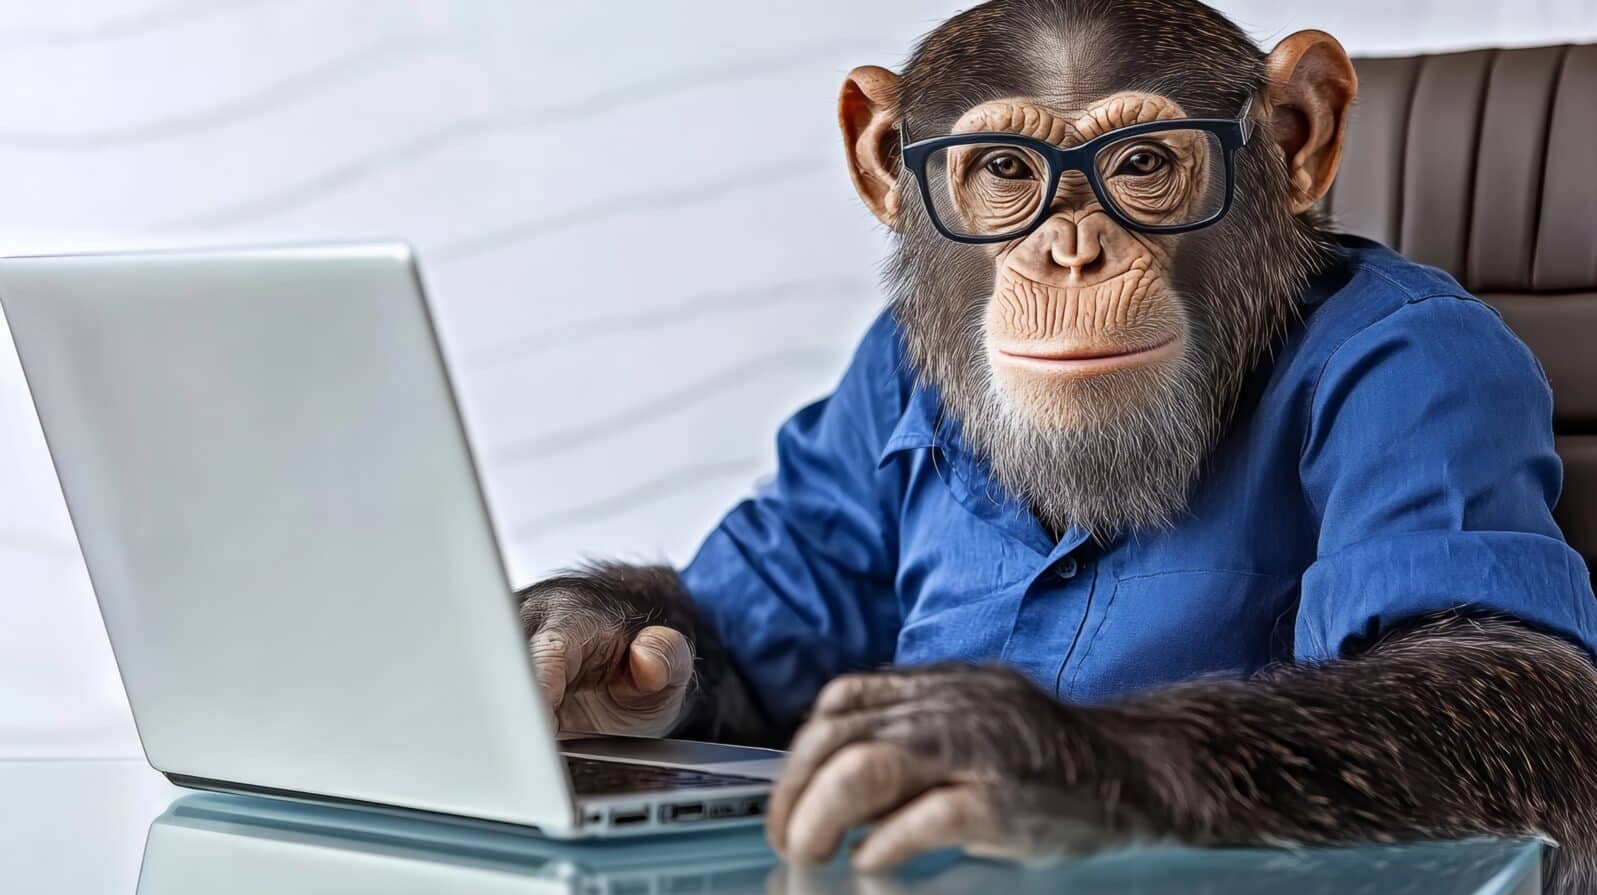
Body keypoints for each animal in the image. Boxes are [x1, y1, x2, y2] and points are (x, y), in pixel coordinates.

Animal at [516, 1, 1597, 889]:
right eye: (1005, 168)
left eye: (1142, 163)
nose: (1070, 252)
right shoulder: (874, 377)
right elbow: (750, 632)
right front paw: (577, 636)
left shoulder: (1432, 357)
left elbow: (1499, 659)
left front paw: (1016, 749)